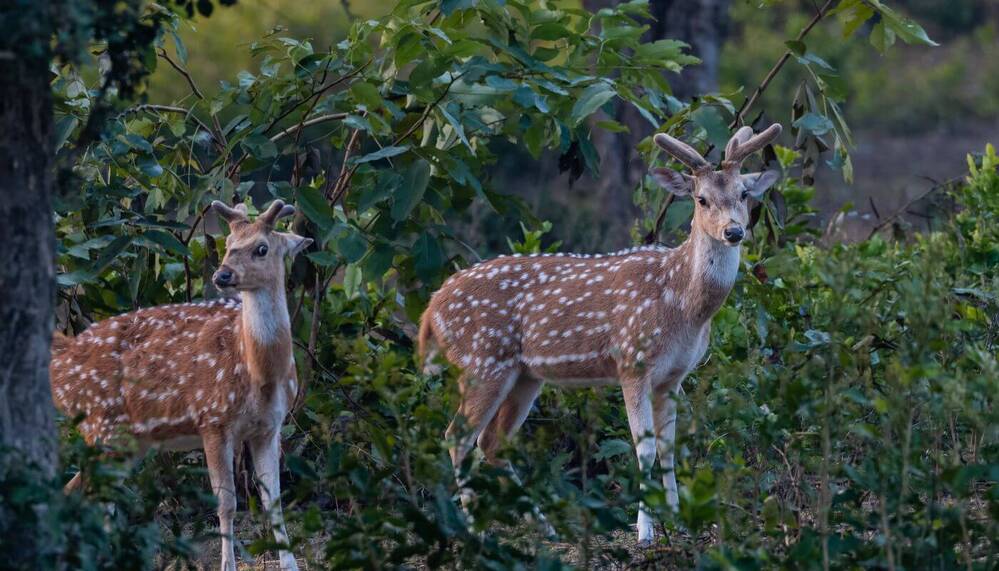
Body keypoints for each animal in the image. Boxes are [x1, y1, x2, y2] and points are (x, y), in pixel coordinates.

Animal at [47, 201, 310, 571]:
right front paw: (227, 565)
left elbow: (273, 501)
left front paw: (290, 564)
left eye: (261, 248)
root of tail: (60, 362)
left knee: (88, 493)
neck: (259, 374)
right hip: (100, 425)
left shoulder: (269, 427)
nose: (222, 275)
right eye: (228, 243)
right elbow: (227, 503)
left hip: (129, 440)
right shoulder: (212, 418)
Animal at [418, 123, 784, 544]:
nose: (734, 231)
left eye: (743, 193)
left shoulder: (674, 376)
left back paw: (544, 526)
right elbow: (643, 450)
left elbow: (669, 448)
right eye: (701, 198)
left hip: (524, 375)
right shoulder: (632, 362)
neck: (681, 305)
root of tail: (431, 308)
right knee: (457, 436)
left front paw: (677, 519)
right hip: (481, 360)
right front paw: (645, 530)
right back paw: (473, 529)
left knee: (491, 441)